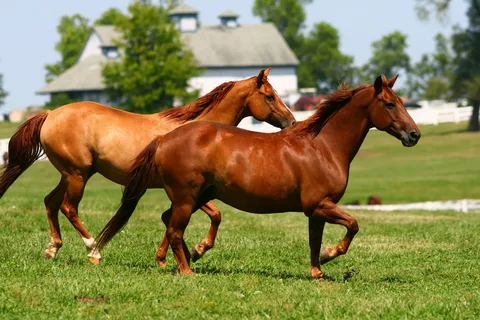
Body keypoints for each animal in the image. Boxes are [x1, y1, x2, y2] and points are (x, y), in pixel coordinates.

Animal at [0, 68, 296, 264]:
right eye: (270, 96)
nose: (292, 122)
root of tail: (51, 114)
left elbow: (198, 217)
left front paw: (174, 255)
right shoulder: (187, 190)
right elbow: (208, 216)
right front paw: (195, 251)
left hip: (72, 174)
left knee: (50, 202)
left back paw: (53, 249)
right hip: (77, 175)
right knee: (68, 208)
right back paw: (93, 249)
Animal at [93, 74, 420, 278]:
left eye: (402, 101)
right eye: (390, 103)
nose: (414, 135)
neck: (322, 146)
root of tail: (164, 139)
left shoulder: (316, 210)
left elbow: (314, 241)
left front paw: (318, 271)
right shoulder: (320, 205)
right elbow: (352, 225)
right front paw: (331, 254)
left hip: (197, 196)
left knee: (169, 222)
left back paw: (190, 256)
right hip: (187, 197)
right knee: (174, 230)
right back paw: (187, 269)